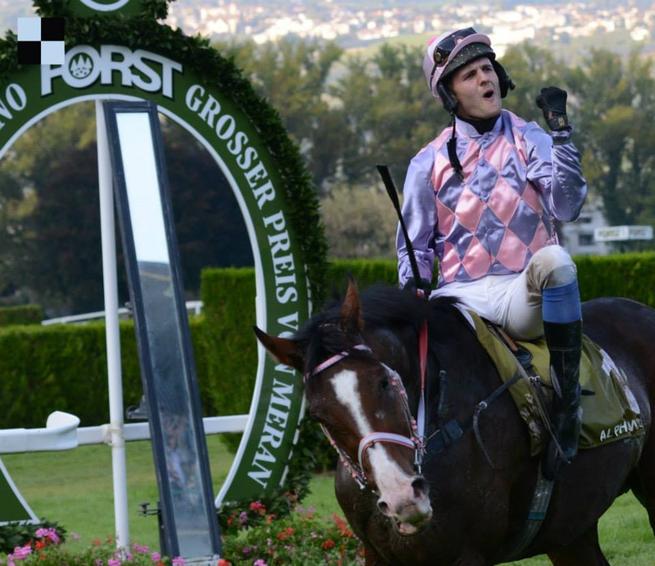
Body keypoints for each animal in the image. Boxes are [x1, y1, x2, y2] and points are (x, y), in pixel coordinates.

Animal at [255, 281, 655, 565]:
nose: (403, 498)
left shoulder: (466, 553)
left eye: (383, 382)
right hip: (571, 528)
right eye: (318, 414)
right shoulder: (376, 554)